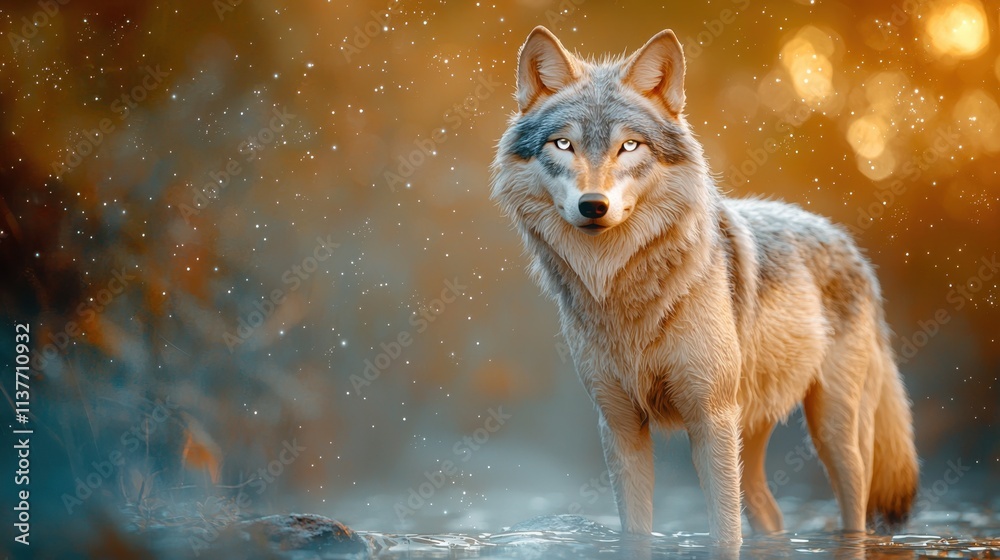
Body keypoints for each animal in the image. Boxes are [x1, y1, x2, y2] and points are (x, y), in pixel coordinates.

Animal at [490, 26, 918, 543]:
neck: (628, 293)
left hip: (834, 437)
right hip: (751, 439)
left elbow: (723, 532)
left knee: (853, 514)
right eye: (563, 144)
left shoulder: (710, 418)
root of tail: (849, 244)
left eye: (629, 147)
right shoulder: (620, 425)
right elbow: (637, 530)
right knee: (772, 516)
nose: (594, 205)